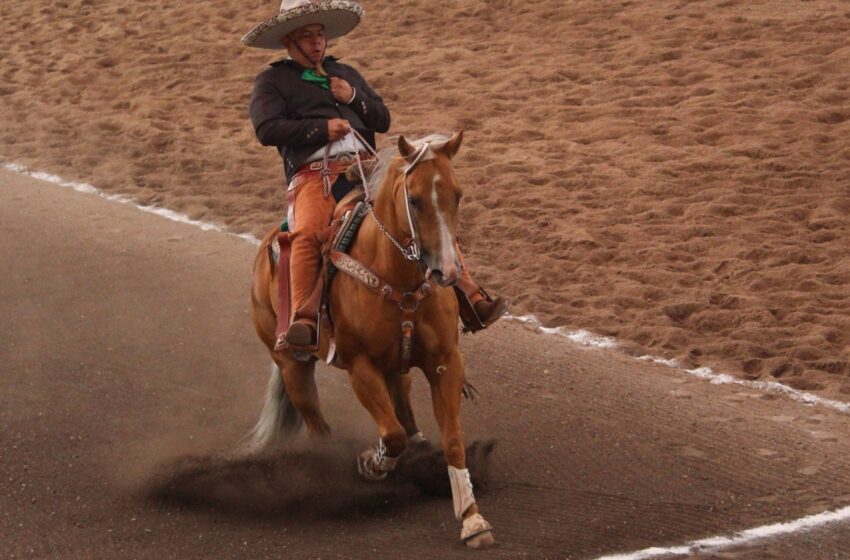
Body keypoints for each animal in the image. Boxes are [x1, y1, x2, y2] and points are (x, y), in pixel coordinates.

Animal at [245, 131, 494, 548]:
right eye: (414, 199)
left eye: (457, 195)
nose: (446, 271)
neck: (398, 277)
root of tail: (266, 251)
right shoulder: (360, 367)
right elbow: (390, 436)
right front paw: (372, 464)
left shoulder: (445, 360)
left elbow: (451, 440)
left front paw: (472, 520)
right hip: (292, 367)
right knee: (319, 428)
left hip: (397, 369)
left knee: (403, 410)